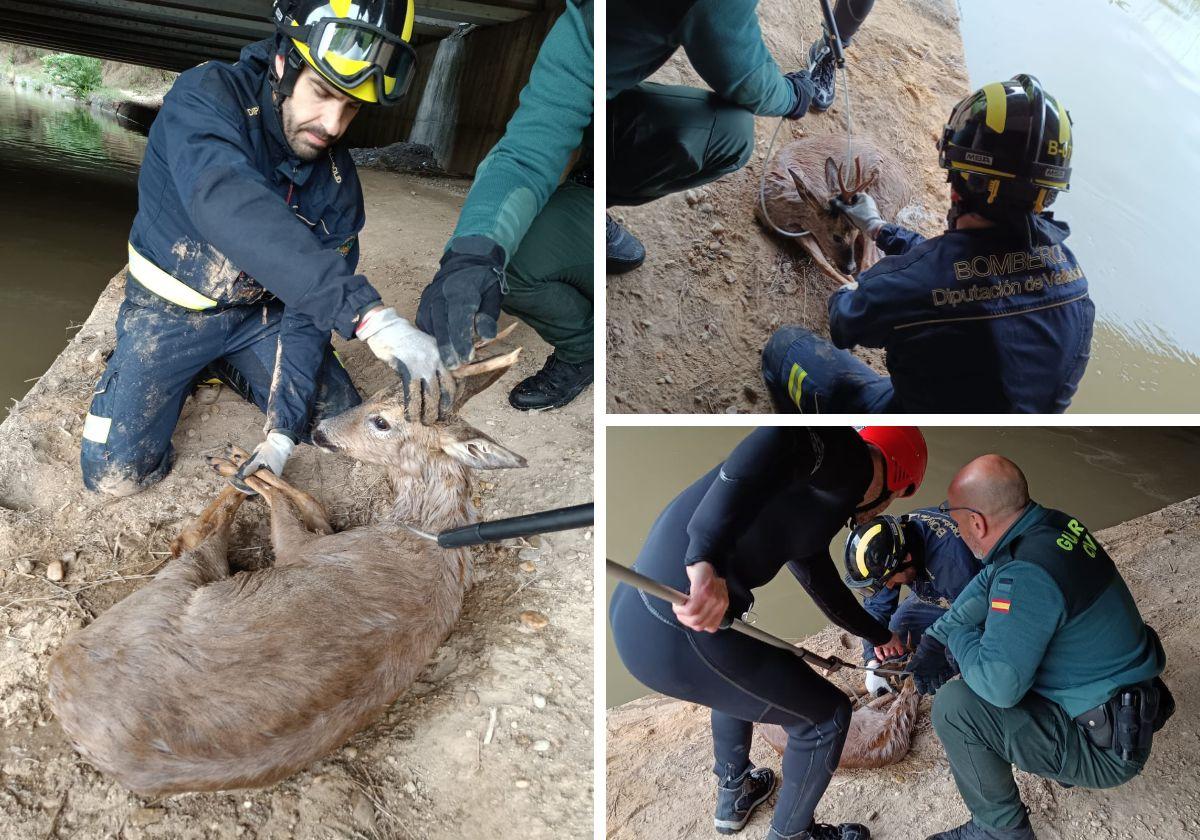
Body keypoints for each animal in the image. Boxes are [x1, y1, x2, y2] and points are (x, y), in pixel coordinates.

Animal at [48, 340, 525, 792]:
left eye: (382, 422)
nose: (319, 428)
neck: (430, 531)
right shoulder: (327, 534)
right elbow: (313, 503)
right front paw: (255, 456)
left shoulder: (304, 551)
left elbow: (287, 506)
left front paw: (241, 460)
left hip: (168, 593)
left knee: (190, 541)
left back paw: (228, 467)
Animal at [758, 135, 916, 285]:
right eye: (836, 237)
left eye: (853, 234)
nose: (850, 268)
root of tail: (908, 189)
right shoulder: (795, 230)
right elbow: (823, 263)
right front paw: (849, 281)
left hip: (881, 204)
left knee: (870, 260)